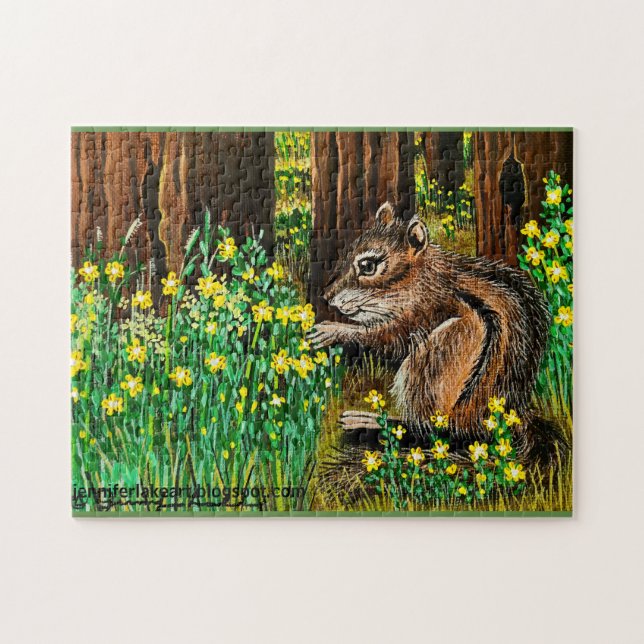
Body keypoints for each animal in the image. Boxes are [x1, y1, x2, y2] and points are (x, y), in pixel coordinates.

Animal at [308, 202, 564, 463]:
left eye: (368, 266)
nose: (326, 297)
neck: (419, 279)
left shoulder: (424, 312)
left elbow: (387, 338)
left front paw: (334, 330)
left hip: (433, 360)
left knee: (430, 429)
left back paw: (374, 422)